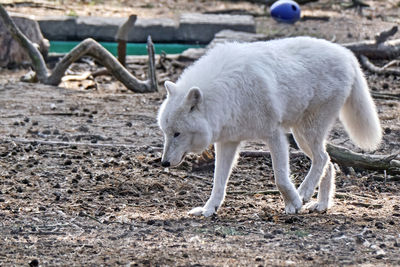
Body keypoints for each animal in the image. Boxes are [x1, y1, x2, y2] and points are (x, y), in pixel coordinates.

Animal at [156, 36, 382, 218]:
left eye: (177, 134)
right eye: (166, 133)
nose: (164, 162)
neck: (228, 94)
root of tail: (347, 54)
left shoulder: (275, 135)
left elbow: (280, 177)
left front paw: (294, 203)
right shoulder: (228, 142)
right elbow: (218, 182)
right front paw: (208, 209)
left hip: (305, 133)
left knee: (323, 159)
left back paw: (305, 193)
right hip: (302, 137)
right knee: (329, 163)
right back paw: (321, 205)